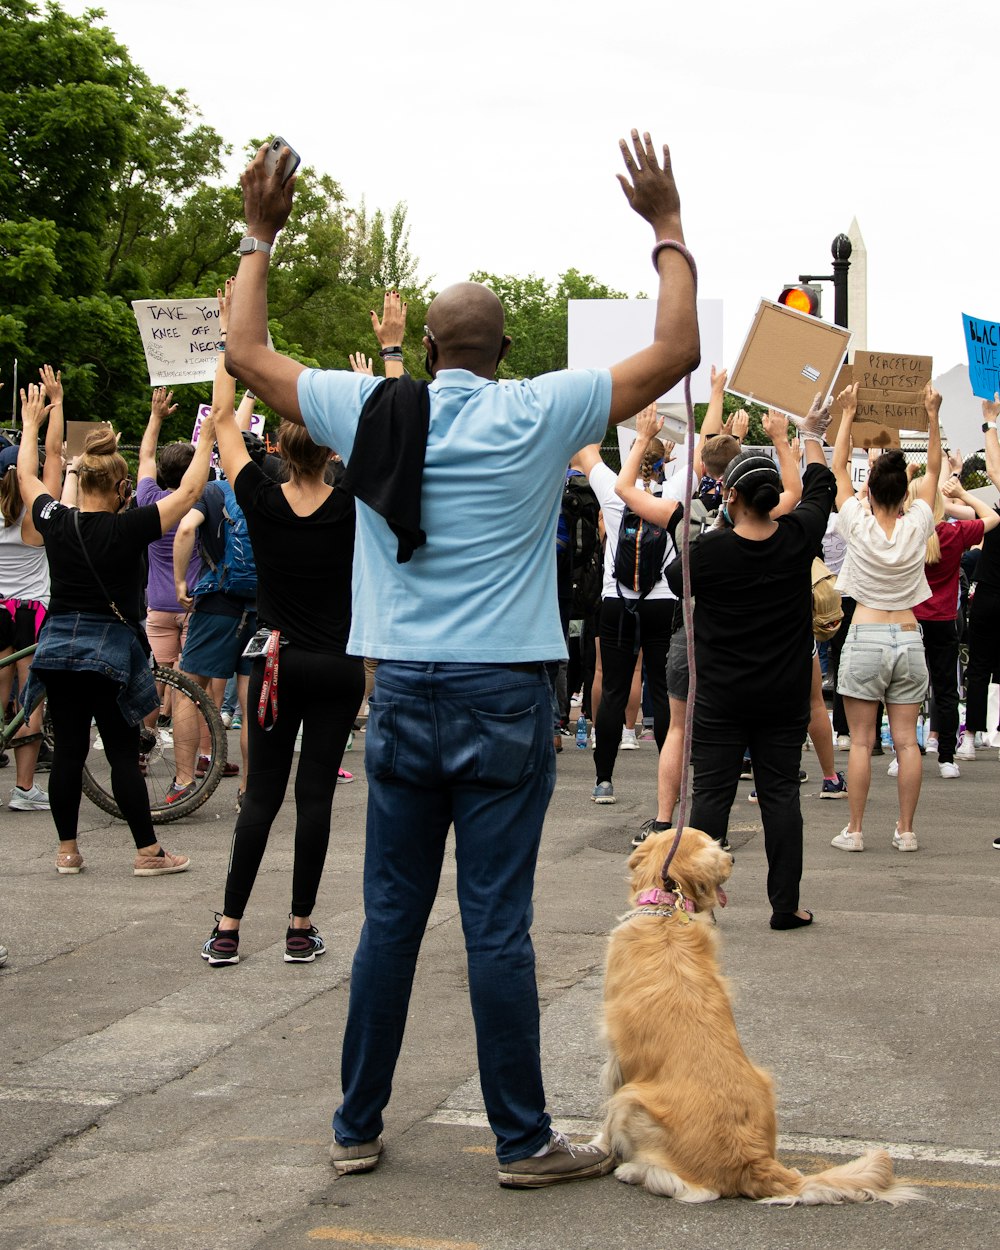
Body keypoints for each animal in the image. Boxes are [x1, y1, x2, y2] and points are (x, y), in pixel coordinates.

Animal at [597, 825, 920, 1205]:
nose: (733, 859)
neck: (666, 911)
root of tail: (753, 1161)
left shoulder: (617, 1056)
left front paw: (600, 1148)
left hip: (632, 1100)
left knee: (691, 1188)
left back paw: (632, 1170)